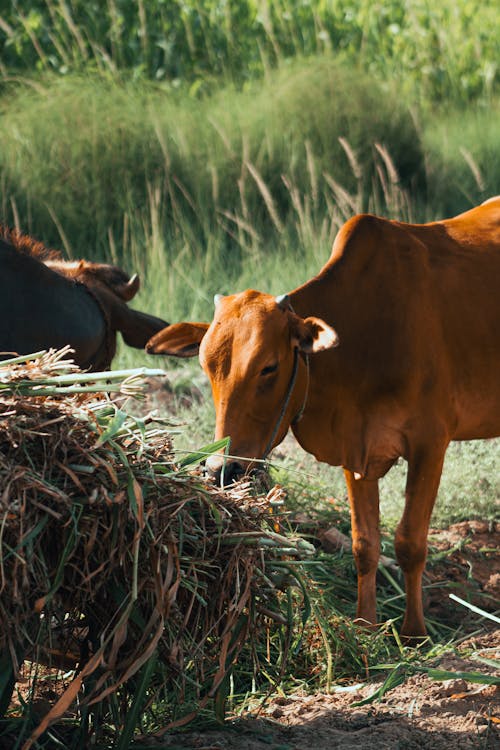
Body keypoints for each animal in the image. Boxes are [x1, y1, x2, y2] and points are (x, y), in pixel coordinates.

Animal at [146, 201, 500, 640]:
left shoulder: (430, 444)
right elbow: (364, 544)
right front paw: (365, 627)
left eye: (269, 366)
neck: (369, 332)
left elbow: (410, 543)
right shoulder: (355, 451)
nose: (222, 469)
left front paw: (415, 633)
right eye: (206, 365)